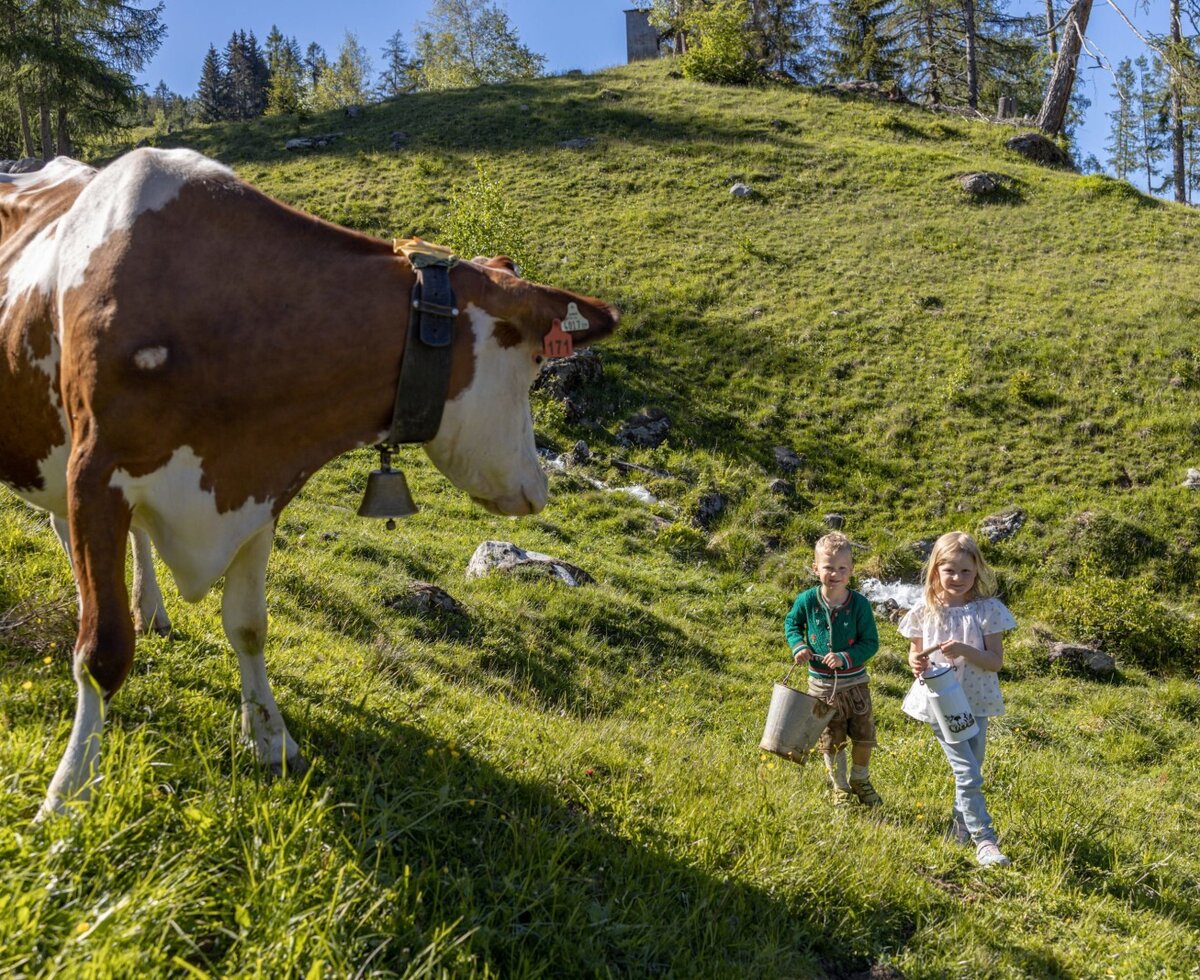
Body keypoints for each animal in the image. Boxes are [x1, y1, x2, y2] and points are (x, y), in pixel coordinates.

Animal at [0, 148, 618, 819]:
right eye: (534, 364)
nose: (539, 488)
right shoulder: (96, 476)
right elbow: (103, 649)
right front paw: (68, 794)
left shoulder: (260, 490)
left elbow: (248, 624)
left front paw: (271, 739)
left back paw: (151, 607)